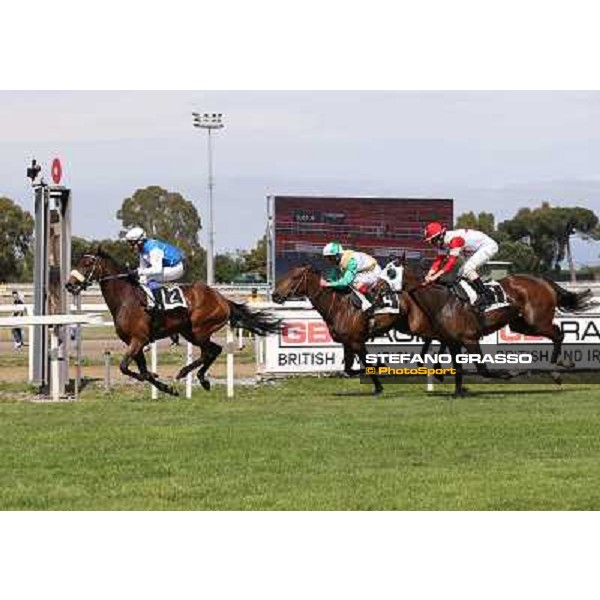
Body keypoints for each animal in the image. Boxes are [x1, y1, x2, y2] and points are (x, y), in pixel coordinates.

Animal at [65, 251, 282, 396]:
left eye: (87, 263)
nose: (69, 284)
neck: (126, 299)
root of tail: (222, 298)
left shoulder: (138, 339)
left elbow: (126, 368)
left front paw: (160, 380)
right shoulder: (134, 342)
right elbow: (139, 371)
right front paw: (165, 386)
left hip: (200, 329)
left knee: (211, 351)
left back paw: (187, 373)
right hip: (189, 332)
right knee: (213, 350)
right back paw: (200, 378)